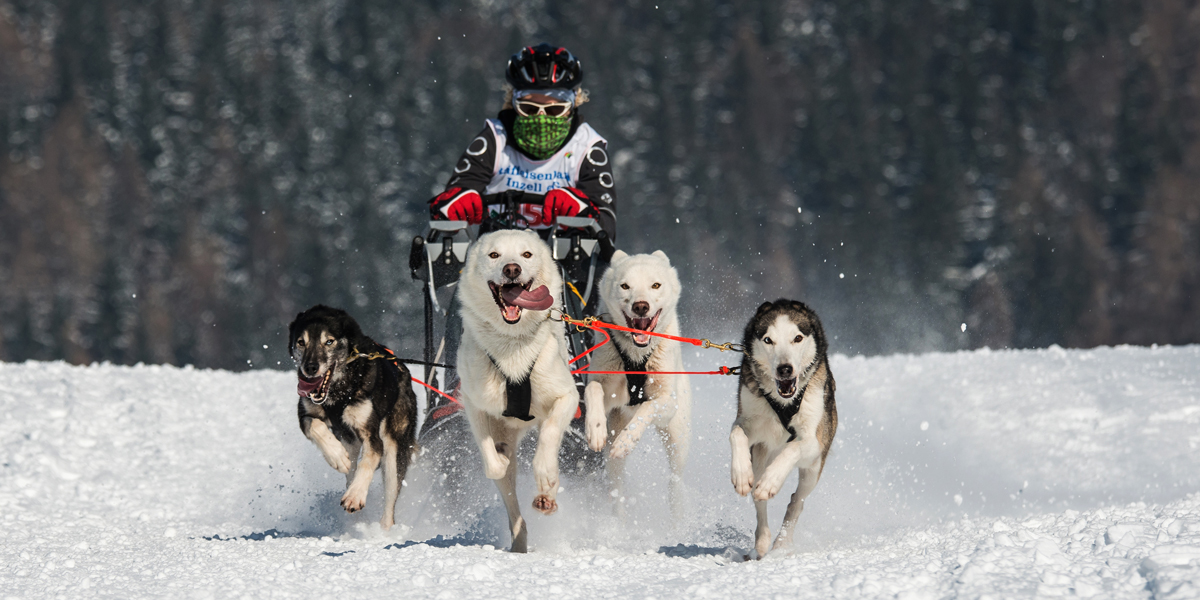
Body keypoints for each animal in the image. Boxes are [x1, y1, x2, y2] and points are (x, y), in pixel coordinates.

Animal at [288, 304, 420, 530]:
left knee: (389, 504)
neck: (337, 392)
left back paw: (382, 530)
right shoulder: (305, 415)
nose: (310, 368)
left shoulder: (371, 436)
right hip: (351, 442)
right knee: (351, 470)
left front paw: (355, 497)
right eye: (301, 342)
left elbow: (369, 461)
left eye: (329, 341)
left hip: (393, 450)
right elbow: (316, 426)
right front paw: (336, 456)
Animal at [456, 229, 578, 552]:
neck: (512, 344)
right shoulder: (474, 403)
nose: (512, 269)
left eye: (526, 254)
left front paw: (545, 474)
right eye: (494, 255)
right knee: (513, 509)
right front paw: (498, 459)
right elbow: (491, 462)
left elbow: (548, 439)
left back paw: (547, 495)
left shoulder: (567, 396)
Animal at [724, 300, 840, 556]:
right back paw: (762, 540)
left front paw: (772, 481)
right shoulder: (748, 421)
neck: (784, 404)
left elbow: (793, 448)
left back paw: (782, 542)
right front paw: (740, 474)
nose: (784, 369)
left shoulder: (814, 441)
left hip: (813, 470)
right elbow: (736, 434)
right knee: (759, 498)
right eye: (768, 340)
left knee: (797, 501)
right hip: (760, 457)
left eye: (797, 338)